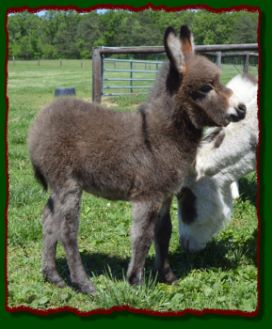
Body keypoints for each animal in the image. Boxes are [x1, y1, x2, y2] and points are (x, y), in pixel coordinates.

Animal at [28, 25, 246, 292]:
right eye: (206, 87)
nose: (242, 109)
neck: (161, 135)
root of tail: (38, 124)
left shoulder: (165, 195)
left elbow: (163, 233)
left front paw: (167, 276)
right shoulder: (147, 196)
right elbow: (142, 237)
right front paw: (136, 281)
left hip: (58, 186)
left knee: (49, 220)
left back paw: (53, 276)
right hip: (68, 184)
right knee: (67, 231)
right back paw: (84, 284)